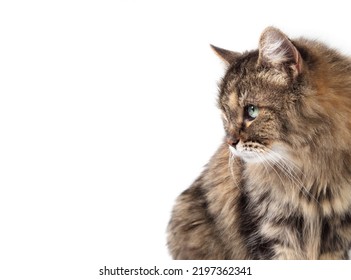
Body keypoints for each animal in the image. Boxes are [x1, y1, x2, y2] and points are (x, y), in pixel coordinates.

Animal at [166, 26, 351, 260]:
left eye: (251, 111)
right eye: (225, 115)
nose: (230, 142)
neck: (312, 176)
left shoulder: (337, 241)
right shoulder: (269, 233)